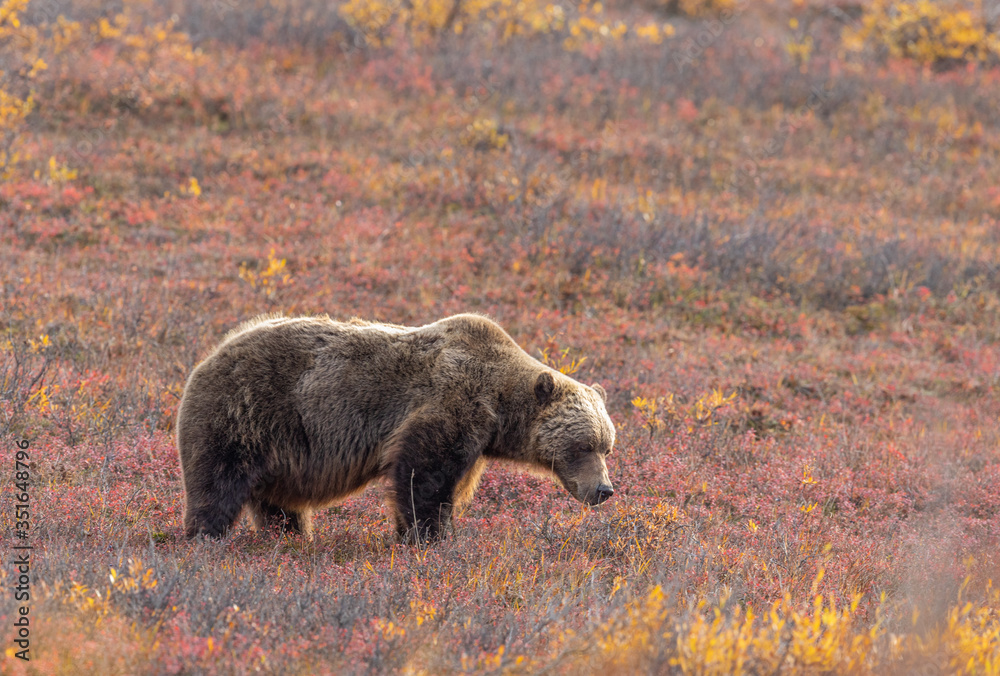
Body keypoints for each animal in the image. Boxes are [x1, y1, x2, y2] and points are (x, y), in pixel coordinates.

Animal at [176, 313, 616, 542]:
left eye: (607, 445)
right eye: (582, 445)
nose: (604, 490)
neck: (501, 403)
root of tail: (207, 357)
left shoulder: (477, 438)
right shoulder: (450, 405)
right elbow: (423, 476)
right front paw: (428, 536)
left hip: (280, 453)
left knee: (278, 503)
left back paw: (292, 537)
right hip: (243, 415)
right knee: (217, 485)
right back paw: (206, 537)